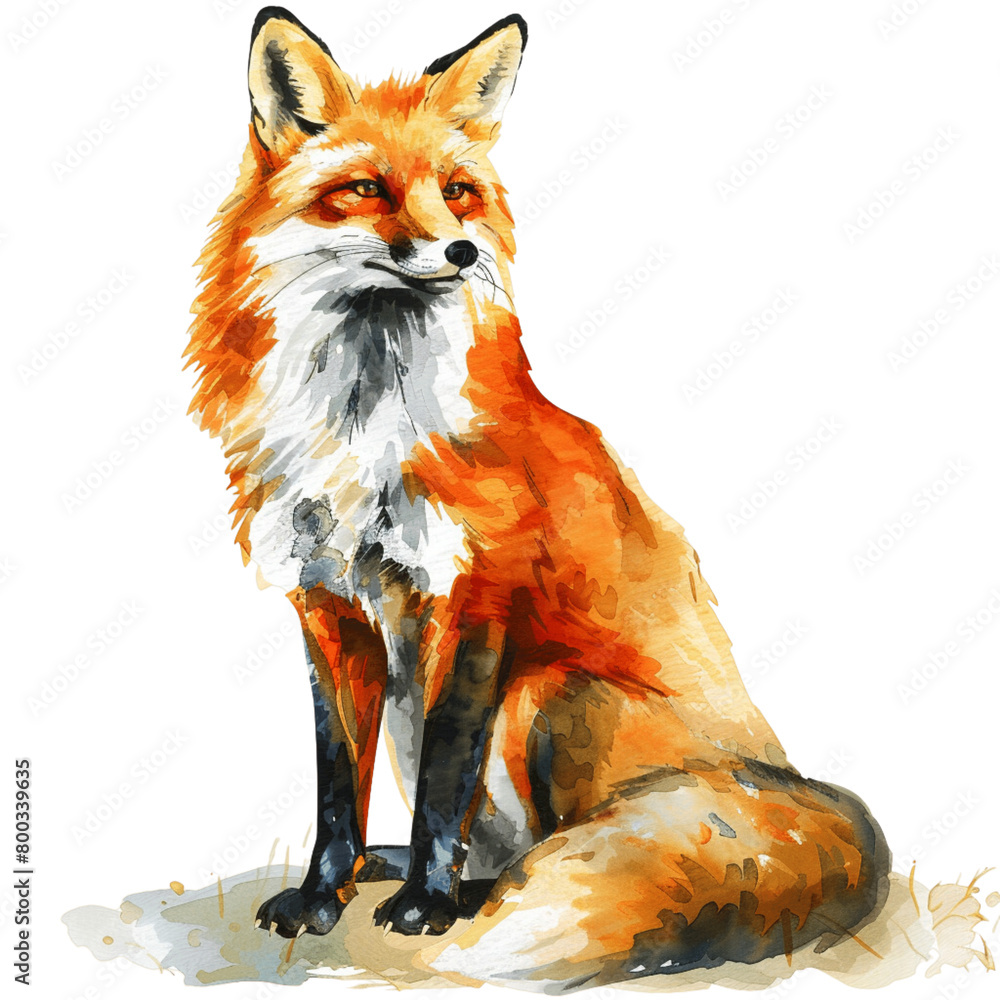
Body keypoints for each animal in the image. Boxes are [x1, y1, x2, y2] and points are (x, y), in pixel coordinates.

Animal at [185, 6, 891, 986]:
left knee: (537, 852)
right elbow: (334, 786)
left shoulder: (476, 597)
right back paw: (385, 864)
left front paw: (427, 905)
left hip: (542, 690)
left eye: (458, 192)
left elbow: (445, 781)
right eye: (364, 189)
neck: (366, 424)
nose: (462, 249)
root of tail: (776, 780)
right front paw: (322, 897)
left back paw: (460, 893)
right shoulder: (327, 602)